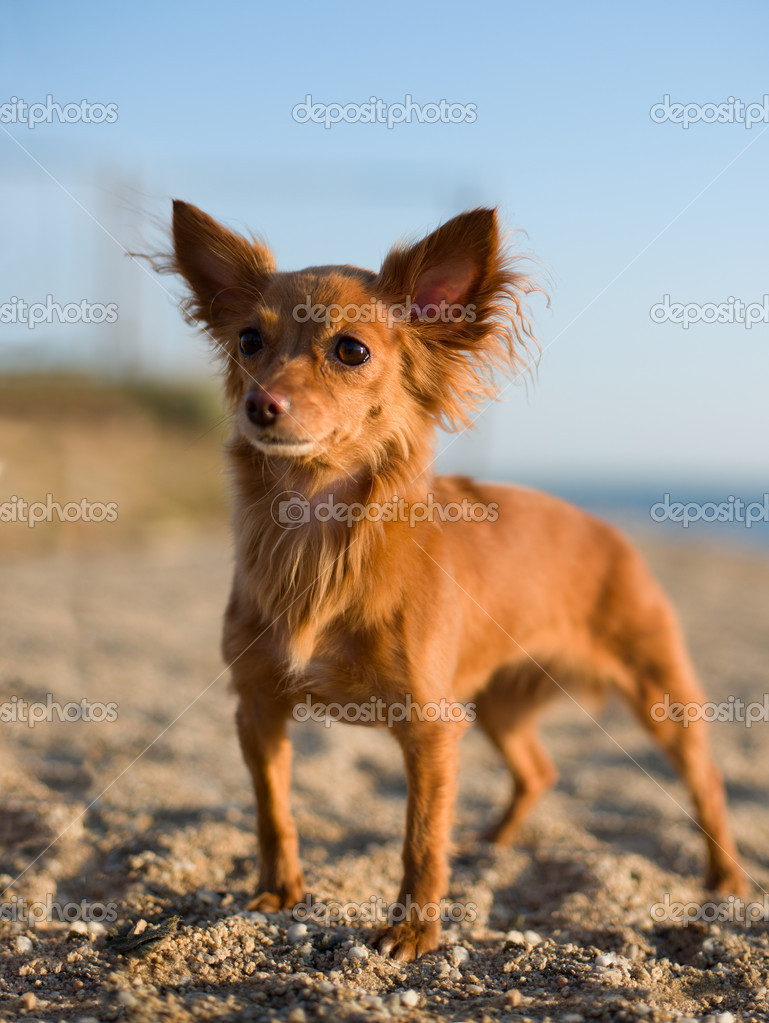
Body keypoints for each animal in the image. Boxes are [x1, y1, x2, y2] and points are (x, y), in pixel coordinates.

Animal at [165, 199, 740, 957]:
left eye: (351, 351)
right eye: (249, 340)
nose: (259, 404)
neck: (318, 534)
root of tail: (610, 529)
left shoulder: (431, 727)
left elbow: (419, 837)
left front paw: (413, 931)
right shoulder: (257, 708)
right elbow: (274, 812)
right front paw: (278, 893)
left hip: (657, 694)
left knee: (705, 780)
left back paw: (726, 877)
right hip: (496, 703)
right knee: (539, 769)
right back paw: (490, 844)